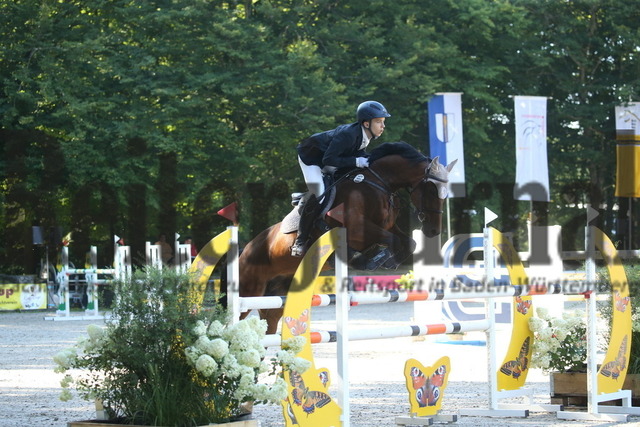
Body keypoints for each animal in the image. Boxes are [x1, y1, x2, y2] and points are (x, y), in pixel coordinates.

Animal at [236, 142, 456, 336]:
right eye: (431, 190)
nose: (433, 231)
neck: (380, 182)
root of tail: (244, 251)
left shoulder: (387, 226)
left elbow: (409, 242)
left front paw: (387, 261)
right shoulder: (356, 228)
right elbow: (391, 241)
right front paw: (373, 260)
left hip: (277, 295)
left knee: (269, 325)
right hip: (249, 291)